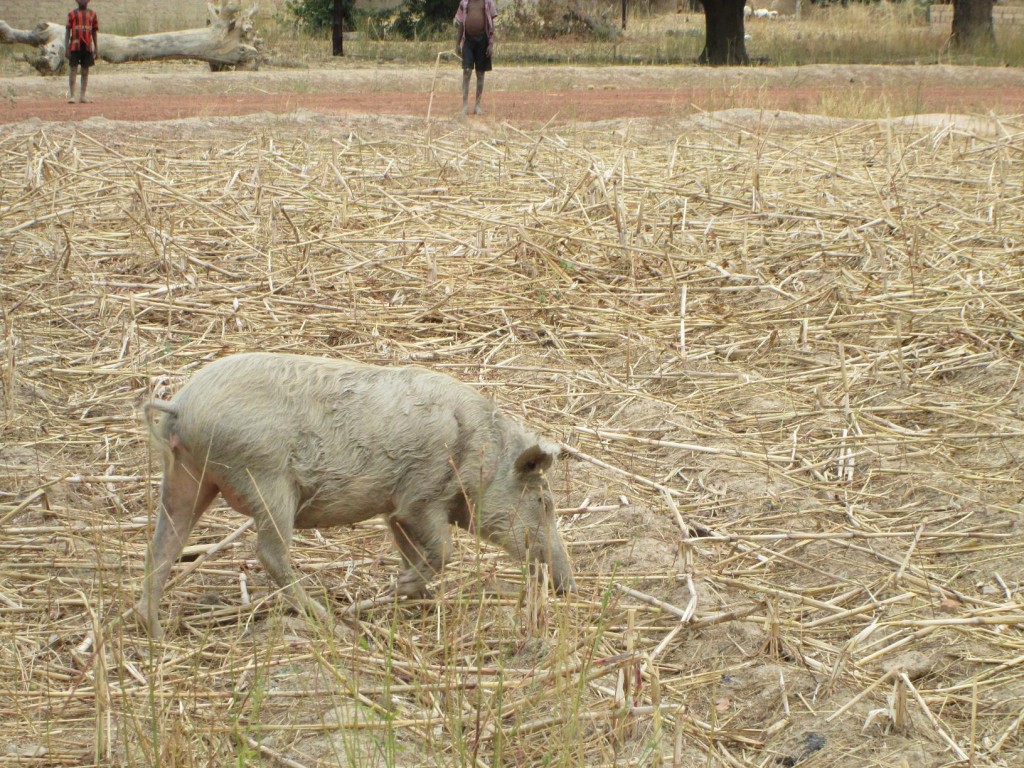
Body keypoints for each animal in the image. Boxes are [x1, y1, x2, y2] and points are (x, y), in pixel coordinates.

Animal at [134, 354, 577, 638]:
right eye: (544, 503)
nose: (567, 585)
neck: (484, 455)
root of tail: (181, 405)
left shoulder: (395, 509)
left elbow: (411, 548)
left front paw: (413, 594)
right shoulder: (422, 496)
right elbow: (444, 551)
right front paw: (402, 586)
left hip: (187, 478)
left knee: (160, 550)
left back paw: (157, 633)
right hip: (266, 481)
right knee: (270, 554)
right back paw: (331, 622)